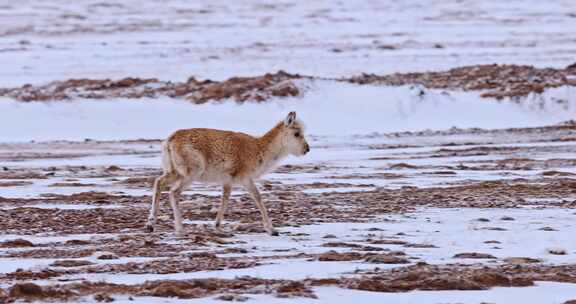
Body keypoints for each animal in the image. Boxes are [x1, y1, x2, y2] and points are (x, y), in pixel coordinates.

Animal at [146, 113, 310, 236]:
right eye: (297, 134)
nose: (307, 149)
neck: (259, 149)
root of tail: (170, 140)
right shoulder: (245, 178)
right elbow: (257, 197)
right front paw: (272, 230)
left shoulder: (228, 181)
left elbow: (225, 199)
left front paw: (218, 225)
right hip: (190, 174)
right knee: (174, 192)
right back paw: (180, 229)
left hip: (173, 172)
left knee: (158, 182)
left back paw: (151, 224)